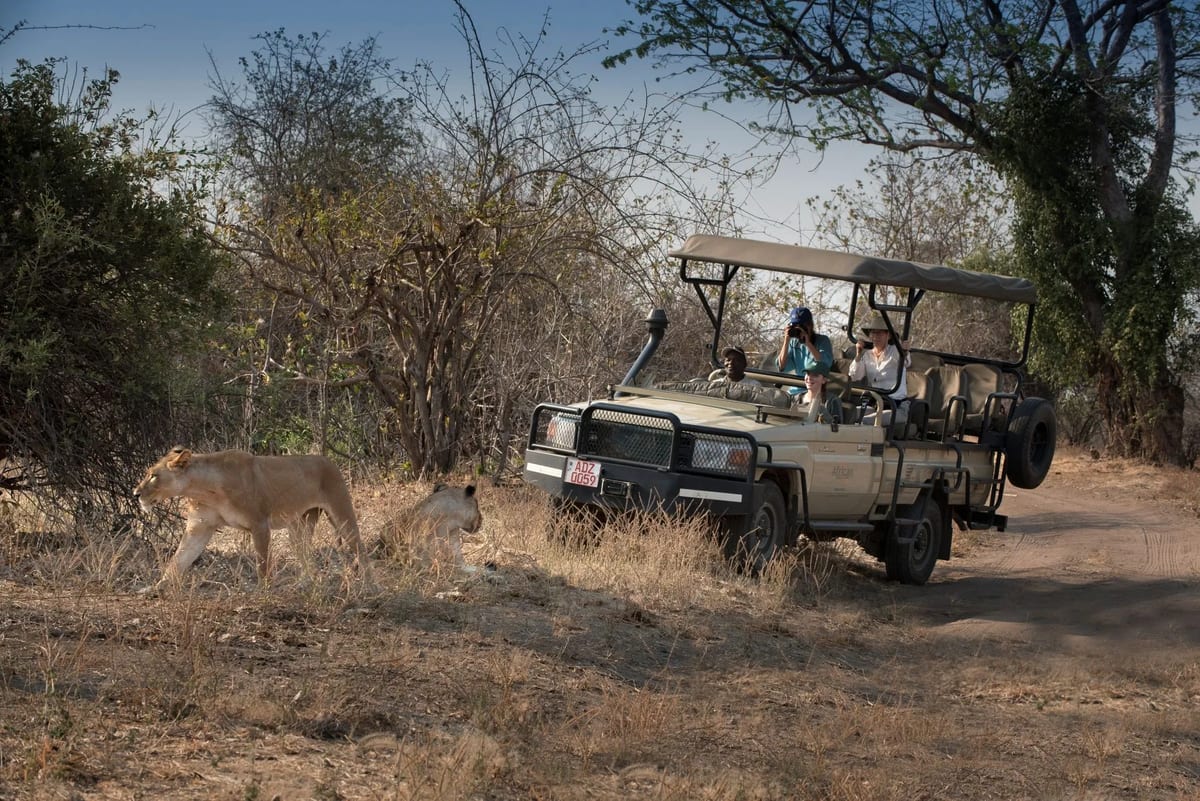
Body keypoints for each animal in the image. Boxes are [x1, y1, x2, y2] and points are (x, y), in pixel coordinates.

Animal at [133, 446, 374, 590]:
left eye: (153, 476)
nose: (135, 494)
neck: (203, 488)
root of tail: (327, 459)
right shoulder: (199, 527)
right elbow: (179, 559)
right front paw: (158, 587)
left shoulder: (260, 524)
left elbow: (262, 563)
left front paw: (264, 592)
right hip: (299, 525)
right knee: (306, 555)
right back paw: (303, 585)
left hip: (341, 511)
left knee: (360, 549)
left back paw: (371, 586)